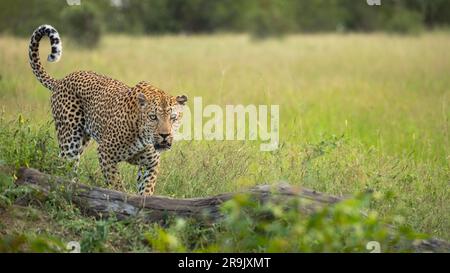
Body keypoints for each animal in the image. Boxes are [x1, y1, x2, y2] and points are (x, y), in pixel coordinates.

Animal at [28, 24, 187, 194]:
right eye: (152, 117)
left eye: (173, 118)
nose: (165, 135)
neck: (142, 135)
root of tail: (62, 80)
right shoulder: (106, 154)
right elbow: (117, 185)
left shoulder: (151, 164)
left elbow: (146, 190)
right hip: (70, 141)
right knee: (63, 167)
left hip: (82, 140)